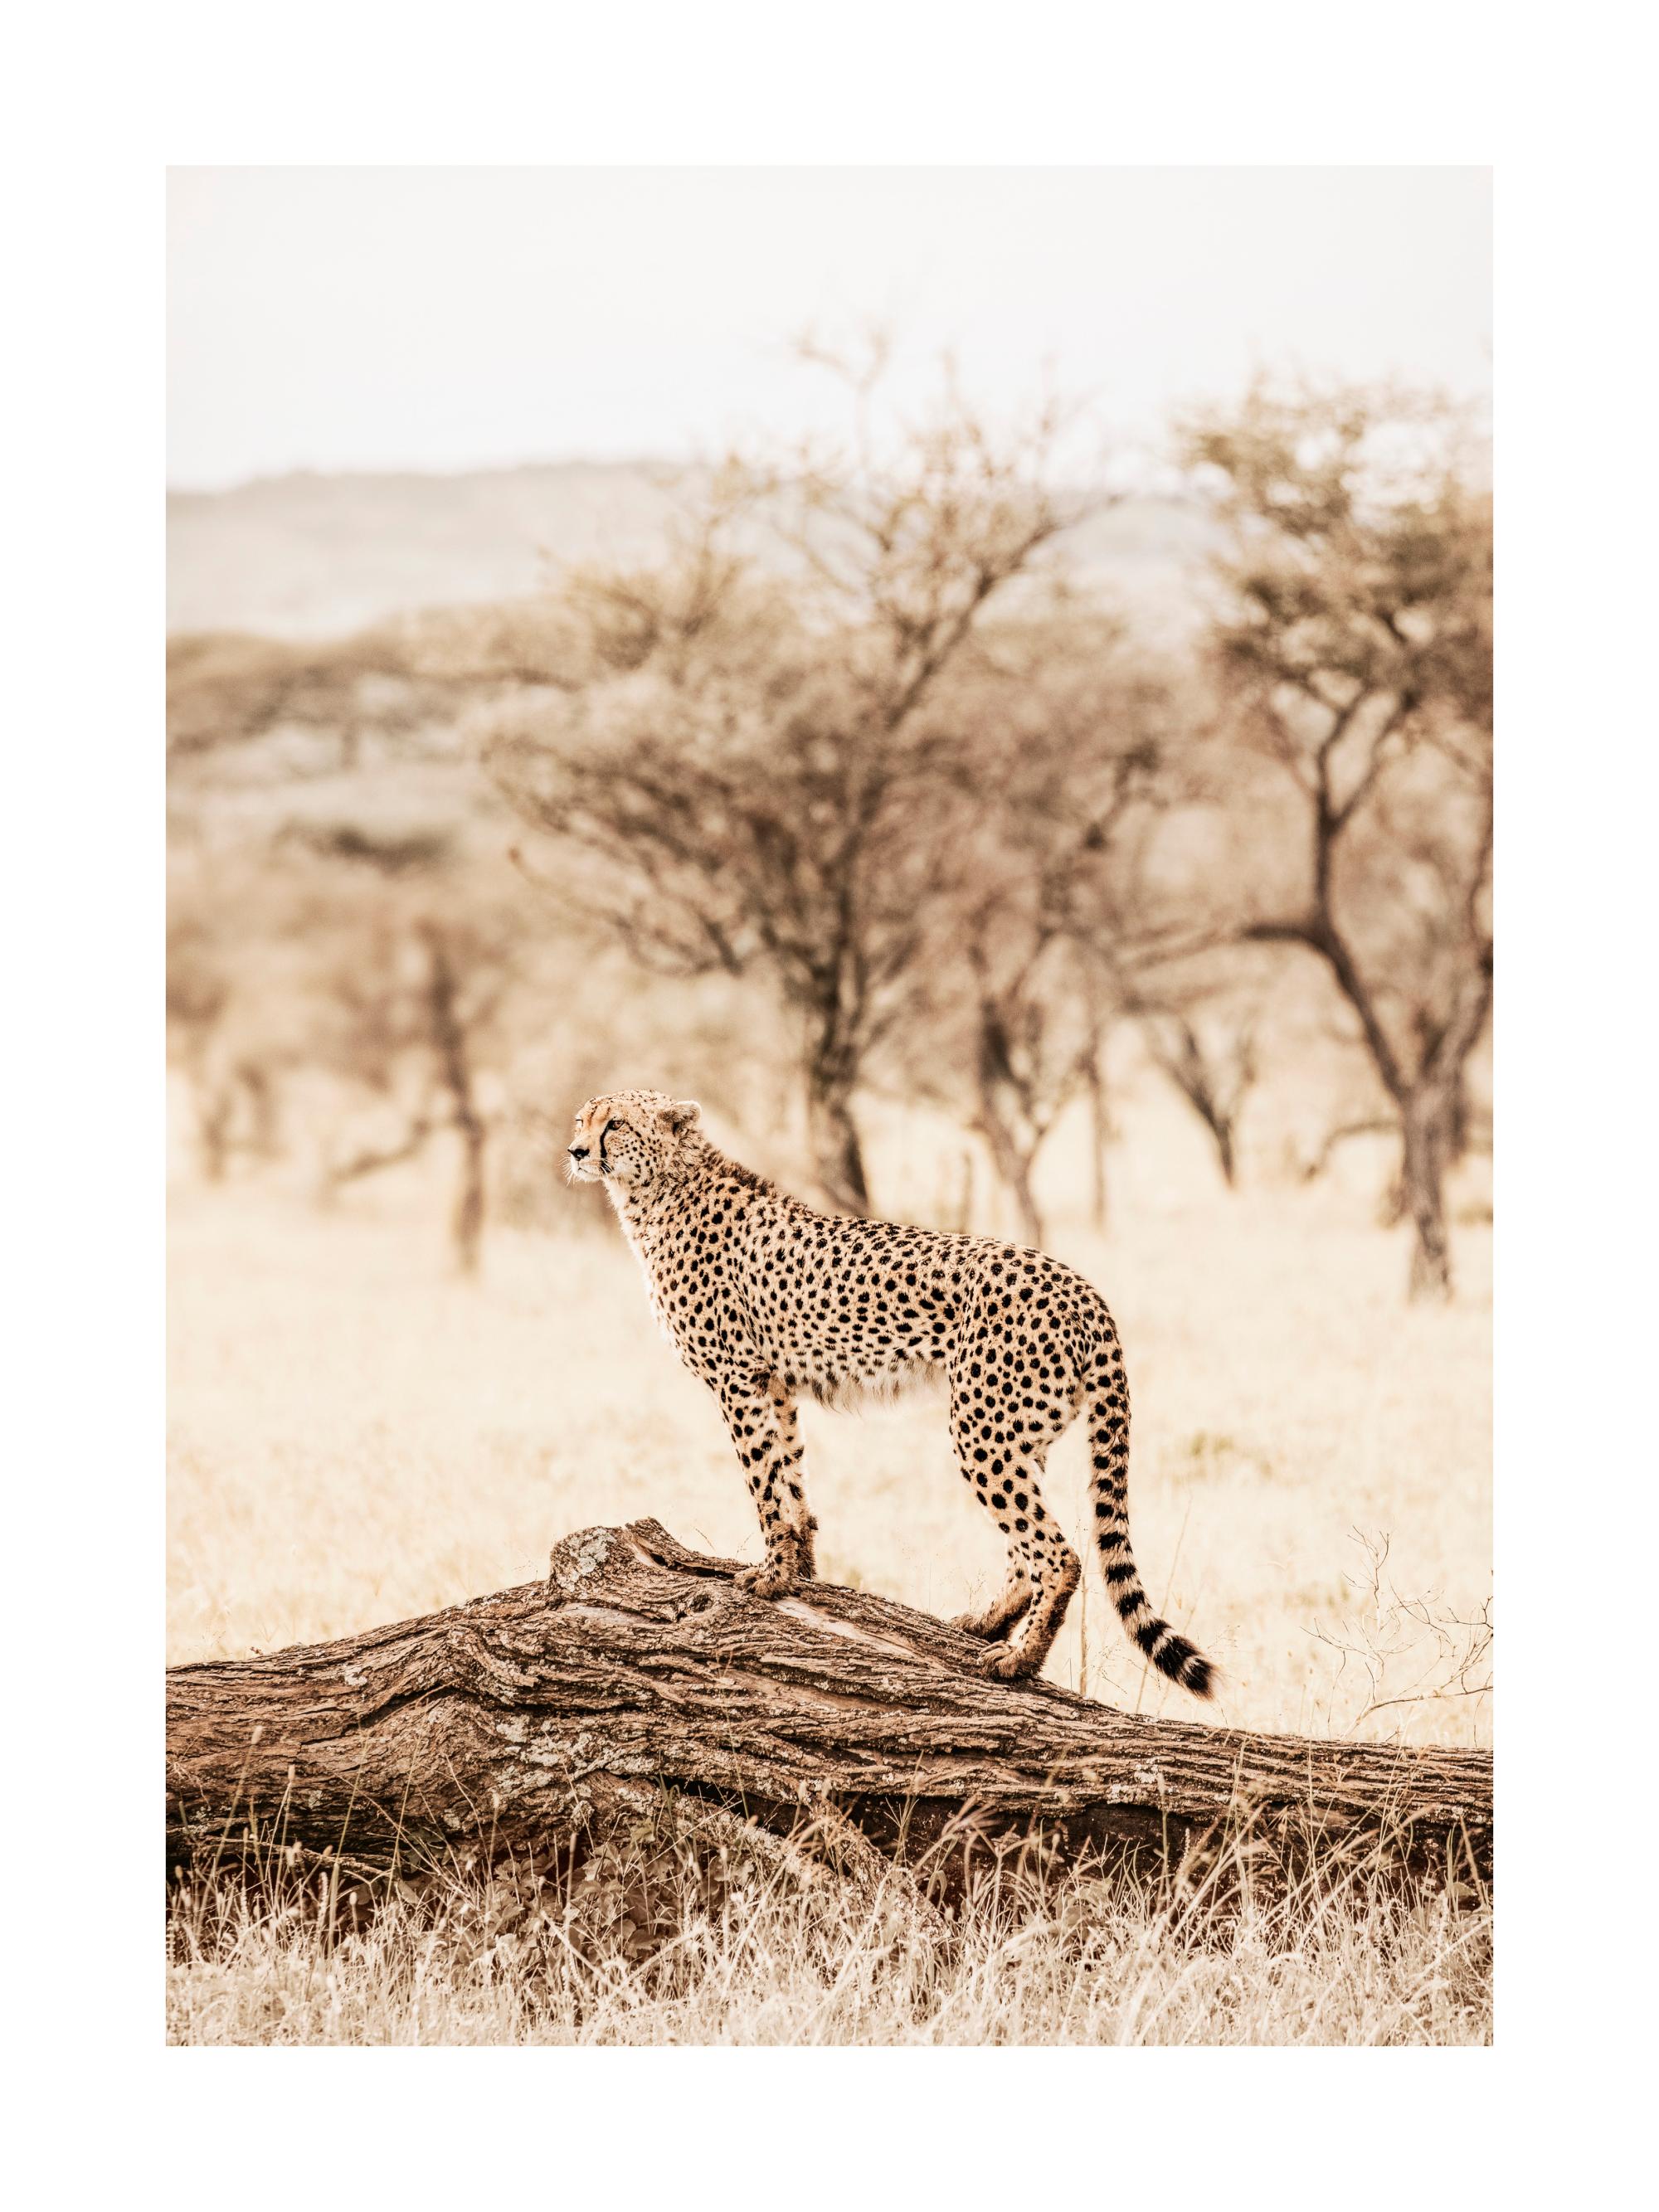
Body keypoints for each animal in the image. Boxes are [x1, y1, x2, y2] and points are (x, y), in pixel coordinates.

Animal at [566, 1086, 1215, 1695]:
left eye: (615, 1123)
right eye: (582, 1119)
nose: (575, 1150)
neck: (659, 1190)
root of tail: (1082, 1286)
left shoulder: (737, 1378)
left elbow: (764, 1484)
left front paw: (769, 1576)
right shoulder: (775, 1384)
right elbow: (791, 1478)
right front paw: (799, 1569)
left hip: (981, 1429)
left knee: (1056, 1554)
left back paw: (1019, 1659)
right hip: (1020, 1431)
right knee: (1027, 1548)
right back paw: (985, 1623)